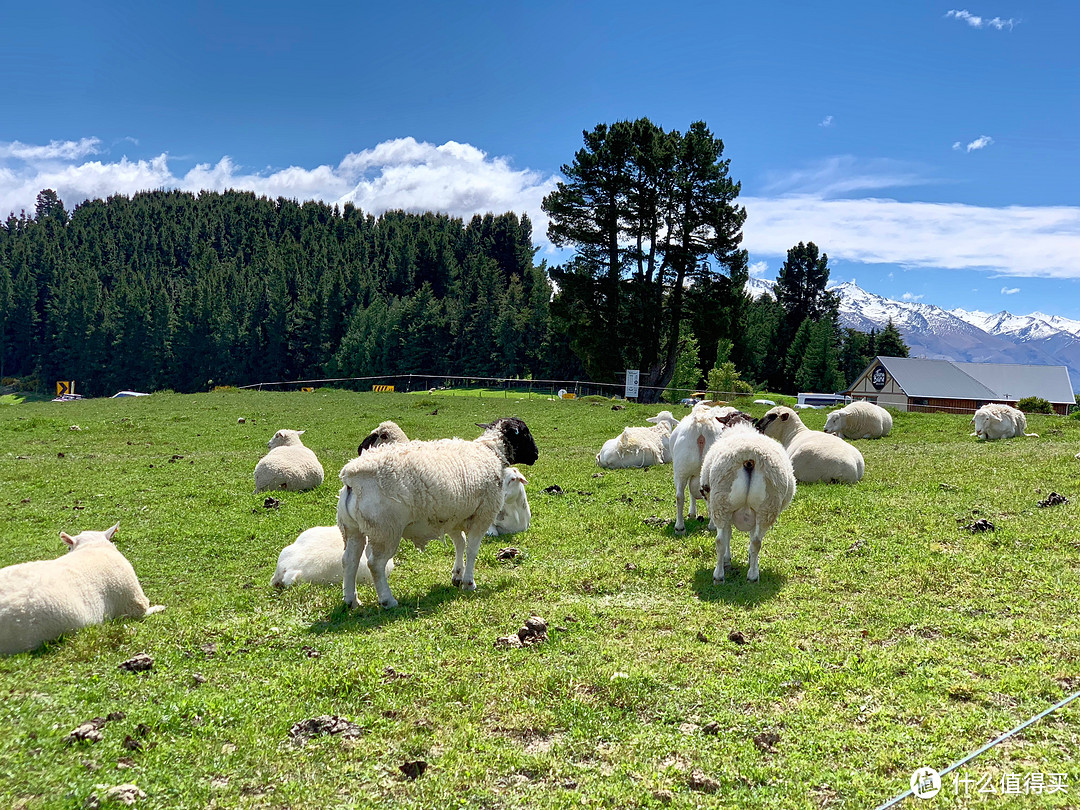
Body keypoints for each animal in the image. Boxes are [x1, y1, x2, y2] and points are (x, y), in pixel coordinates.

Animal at [336, 419, 540, 609]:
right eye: (525, 433)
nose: (536, 454)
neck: (491, 452)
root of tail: (351, 476)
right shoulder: (482, 515)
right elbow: (472, 549)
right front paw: (469, 583)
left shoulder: (453, 518)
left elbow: (460, 544)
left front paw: (457, 575)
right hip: (385, 530)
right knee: (375, 564)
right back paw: (388, 600)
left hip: (352, 528)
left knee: (349, 560)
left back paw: (351, 600)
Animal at [695, 421, 799, 587]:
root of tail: (750, 457)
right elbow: (748, 537)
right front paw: (749, 560)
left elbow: (729, 535)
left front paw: (728, 560)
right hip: (766, 507)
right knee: (756, 541)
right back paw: (752, 575)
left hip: (721, 503)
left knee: (721, 540)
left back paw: (721, 576)